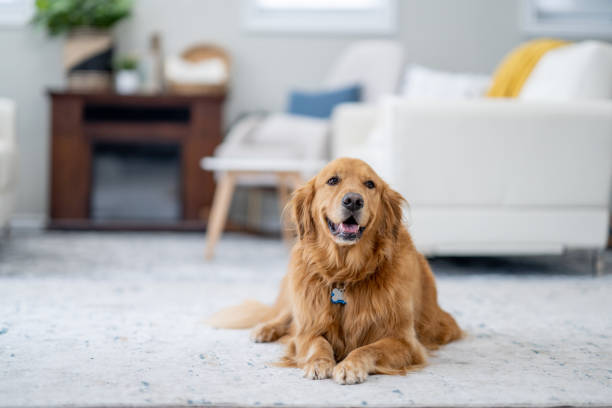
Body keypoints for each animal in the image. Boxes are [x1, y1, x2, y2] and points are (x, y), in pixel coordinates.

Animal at [208, 158, 462, 384]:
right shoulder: (307, 329)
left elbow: (368, 349)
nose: (353, 200)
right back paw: (264, 329)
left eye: (370, 184)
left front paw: (350, 366)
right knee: (283, 315)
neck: (345, 273)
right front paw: (319, 363)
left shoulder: (403, 340)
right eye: (332, 180)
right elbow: (317, 343)